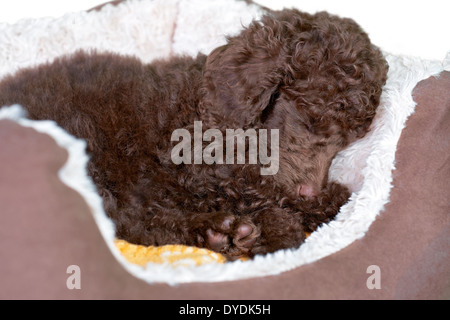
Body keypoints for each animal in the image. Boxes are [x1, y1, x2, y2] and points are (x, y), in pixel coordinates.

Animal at [0, 9, 386, 260]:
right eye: (307, 117)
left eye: (348, 139)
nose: (310, 189)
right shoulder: (203, 173)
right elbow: (264, 195)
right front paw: (287, 225)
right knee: (129, 222)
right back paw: (220, 232)